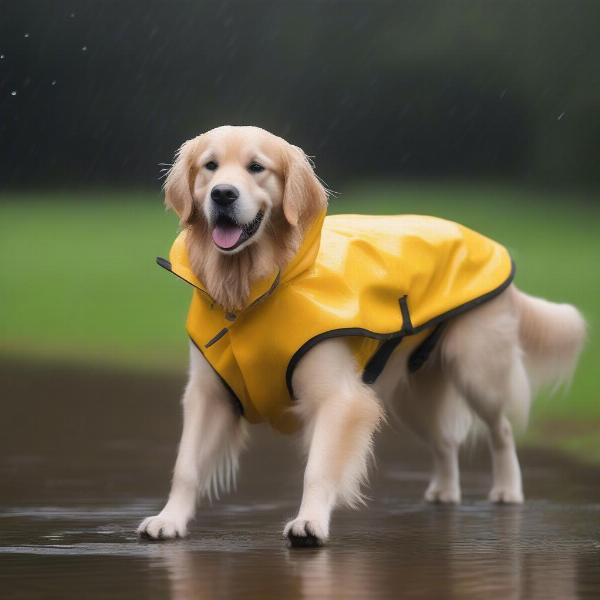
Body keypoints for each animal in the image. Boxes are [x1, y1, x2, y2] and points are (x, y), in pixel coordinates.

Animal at [137, 124, 584, 548]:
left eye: (256, 167)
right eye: (210, 166)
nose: (223, 194)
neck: (252, 292)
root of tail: (487, 242)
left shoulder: (339, 398)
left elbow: (318, 468)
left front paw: (309, 523)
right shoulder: (208, 393)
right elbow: (186, 465)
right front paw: (169, 520)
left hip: (477, 368)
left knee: (501, 429)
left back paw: (508, 489)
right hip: (413, 395)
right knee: (445, 442)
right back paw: (444, 491)